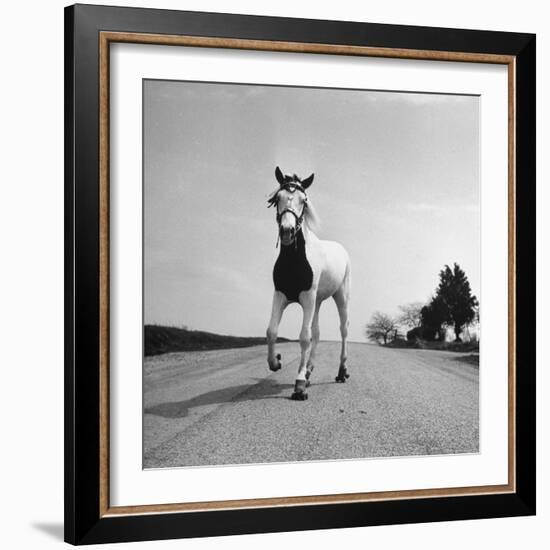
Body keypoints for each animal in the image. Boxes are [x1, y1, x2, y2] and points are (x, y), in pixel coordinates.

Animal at [268, 166, 354, 404]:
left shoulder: (306, 297)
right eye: (277, 198)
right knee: (316, 331)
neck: (295, 261)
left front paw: (298, 386)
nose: (287, 231)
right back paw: (308, 371)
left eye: (303, 200)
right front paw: (276, 362)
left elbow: (304, 337)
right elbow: (272, 331)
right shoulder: (280, 295)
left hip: (340, 297)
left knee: (343, 329)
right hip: (317, 302)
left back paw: (341, 372)